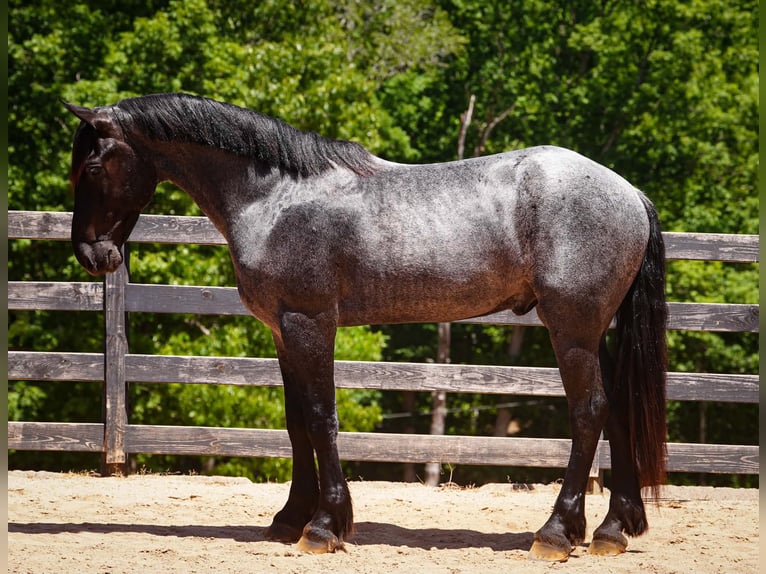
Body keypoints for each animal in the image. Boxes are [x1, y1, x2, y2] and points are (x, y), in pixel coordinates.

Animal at [63, 92, 667, 562]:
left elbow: (320, 417)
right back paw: (614, 529)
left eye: (90, 168)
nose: (93, 257)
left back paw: (557, 533)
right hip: (596, 332)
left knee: (589, 413)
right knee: (617, 410)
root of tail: (630, 193)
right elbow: (296, 423)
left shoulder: (310, 323)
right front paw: (290, 517)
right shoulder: (283, 332)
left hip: (571, 329)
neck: (275, 199)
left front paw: (324, 526)